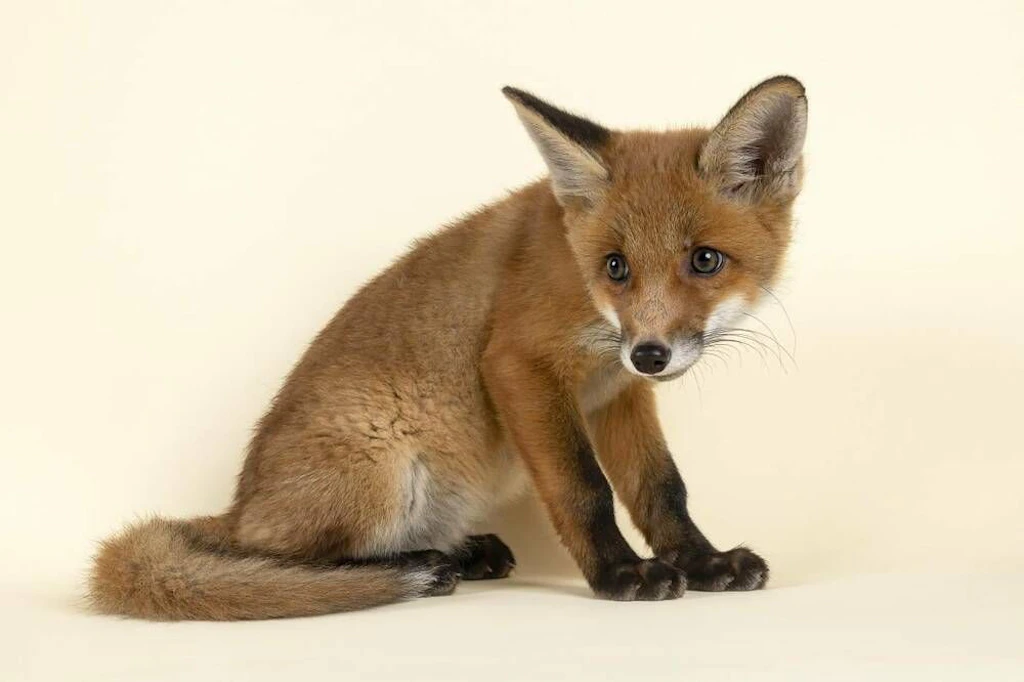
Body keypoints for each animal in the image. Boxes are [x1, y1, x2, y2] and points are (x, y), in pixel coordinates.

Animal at [89, 76, 808, 620]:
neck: (584, 294)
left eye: (705, 260)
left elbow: (662, 489)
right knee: (276, 560)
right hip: (382, 468)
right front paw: (621, 573)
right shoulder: (520, 364)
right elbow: (585, 488)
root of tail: (238, 508)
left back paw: (462, 553)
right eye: (616, 267)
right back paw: (416, 567)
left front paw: (704, 561)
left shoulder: (618, 394)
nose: (651, 355)